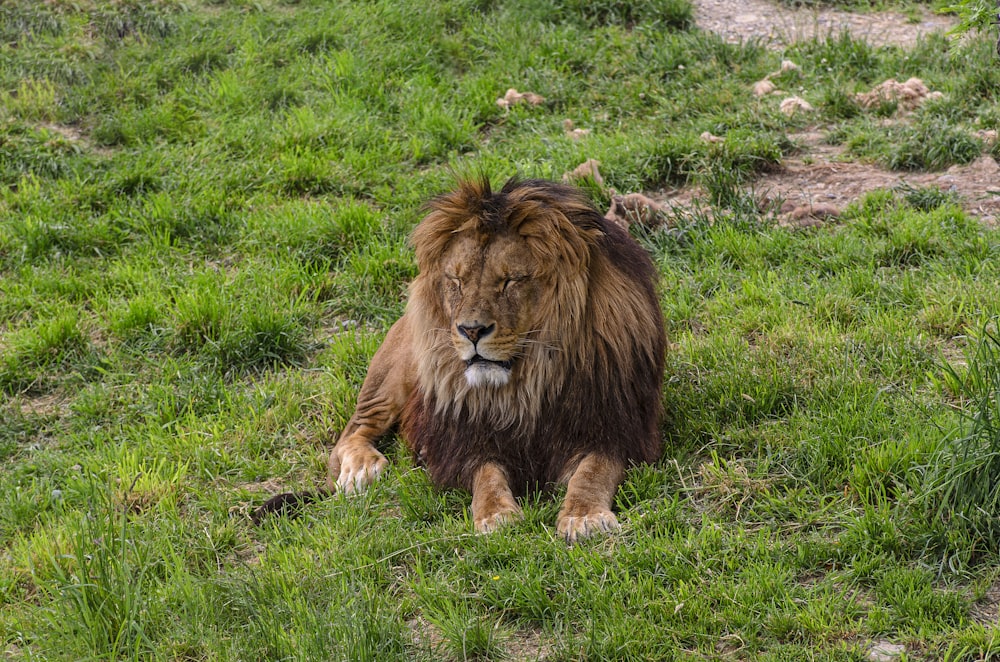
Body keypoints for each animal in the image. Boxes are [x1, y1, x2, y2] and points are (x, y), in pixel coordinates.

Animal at [258, 179, 668, 544]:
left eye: (511, 280)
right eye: (456, 281)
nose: (471, 330)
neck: (528, 384)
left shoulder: (615, 430)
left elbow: (592, 473)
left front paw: (584, 517)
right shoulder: (468, 439)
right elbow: (486, 476)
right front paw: (496, 516)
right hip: (393, 374)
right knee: (353, 430)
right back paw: (362, 468)